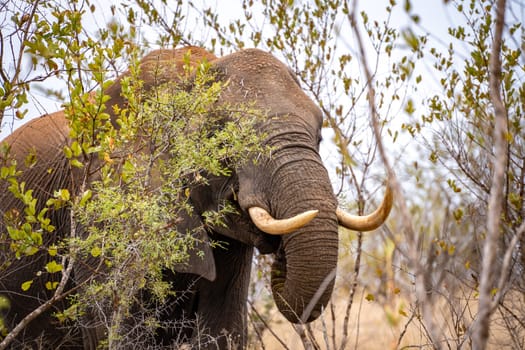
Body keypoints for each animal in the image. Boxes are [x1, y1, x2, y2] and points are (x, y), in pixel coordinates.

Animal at [0, 47, 390, 350]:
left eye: (319, 136)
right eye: (224, 140)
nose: (280, 256)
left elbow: (223, 330)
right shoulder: (101, 205)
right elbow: (112, 330)